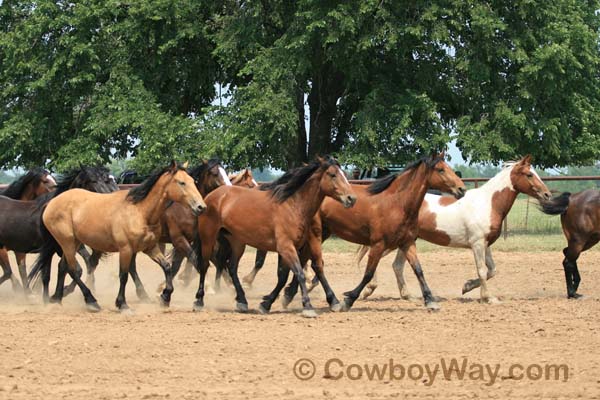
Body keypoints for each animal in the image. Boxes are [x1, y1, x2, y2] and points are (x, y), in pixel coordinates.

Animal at [28, 161, 206, 310]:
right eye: (181, 182)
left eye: (193, 181)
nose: (201, 207)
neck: (140, 212)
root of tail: (51, 203)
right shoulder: (126, 249)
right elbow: (123, 275)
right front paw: (122, 304)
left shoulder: (150, 247)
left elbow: (167, 267)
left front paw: (165, 296)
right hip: (67, 242)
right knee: (73, 269)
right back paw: (91, 300)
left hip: (74, 243)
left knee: (64, 267)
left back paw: (58, 298)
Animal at [193, 155, 356, 316]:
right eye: (333, 174)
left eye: (344, 174)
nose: (351, 198)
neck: (292, 206)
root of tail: (211, 196)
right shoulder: (286, 247)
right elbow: (299, 273)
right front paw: (308, 306)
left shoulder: (291, 248)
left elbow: (284, 277)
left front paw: (266, 304)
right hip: (208, 238)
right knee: (205, 265)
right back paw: (199, 301)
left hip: (237, 242)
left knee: (232, 267)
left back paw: (242, 301)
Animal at [278, 152, 466, 310]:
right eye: (441, 169)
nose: (461, 189)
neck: (397, 203)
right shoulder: (378, 244)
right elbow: (368, 273)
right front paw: (349, 299)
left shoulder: (407, 243)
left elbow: (418, 270)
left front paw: (430, 300)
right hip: (315, 234)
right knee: (314, 264)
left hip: (323, 233)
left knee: (303, 260)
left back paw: (288, 295)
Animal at [354, 156, 552, 304]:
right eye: (529, 174)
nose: (547, 194)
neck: (488, 203)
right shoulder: (477, 244)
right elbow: (482, 270)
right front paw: (487, 298)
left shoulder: (486, 244)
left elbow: (492, 270)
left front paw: (467, 286)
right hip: (393, 241)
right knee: (369, 256)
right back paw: (368, 290)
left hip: (406, 241)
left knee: (396, 266)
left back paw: (407, 296)